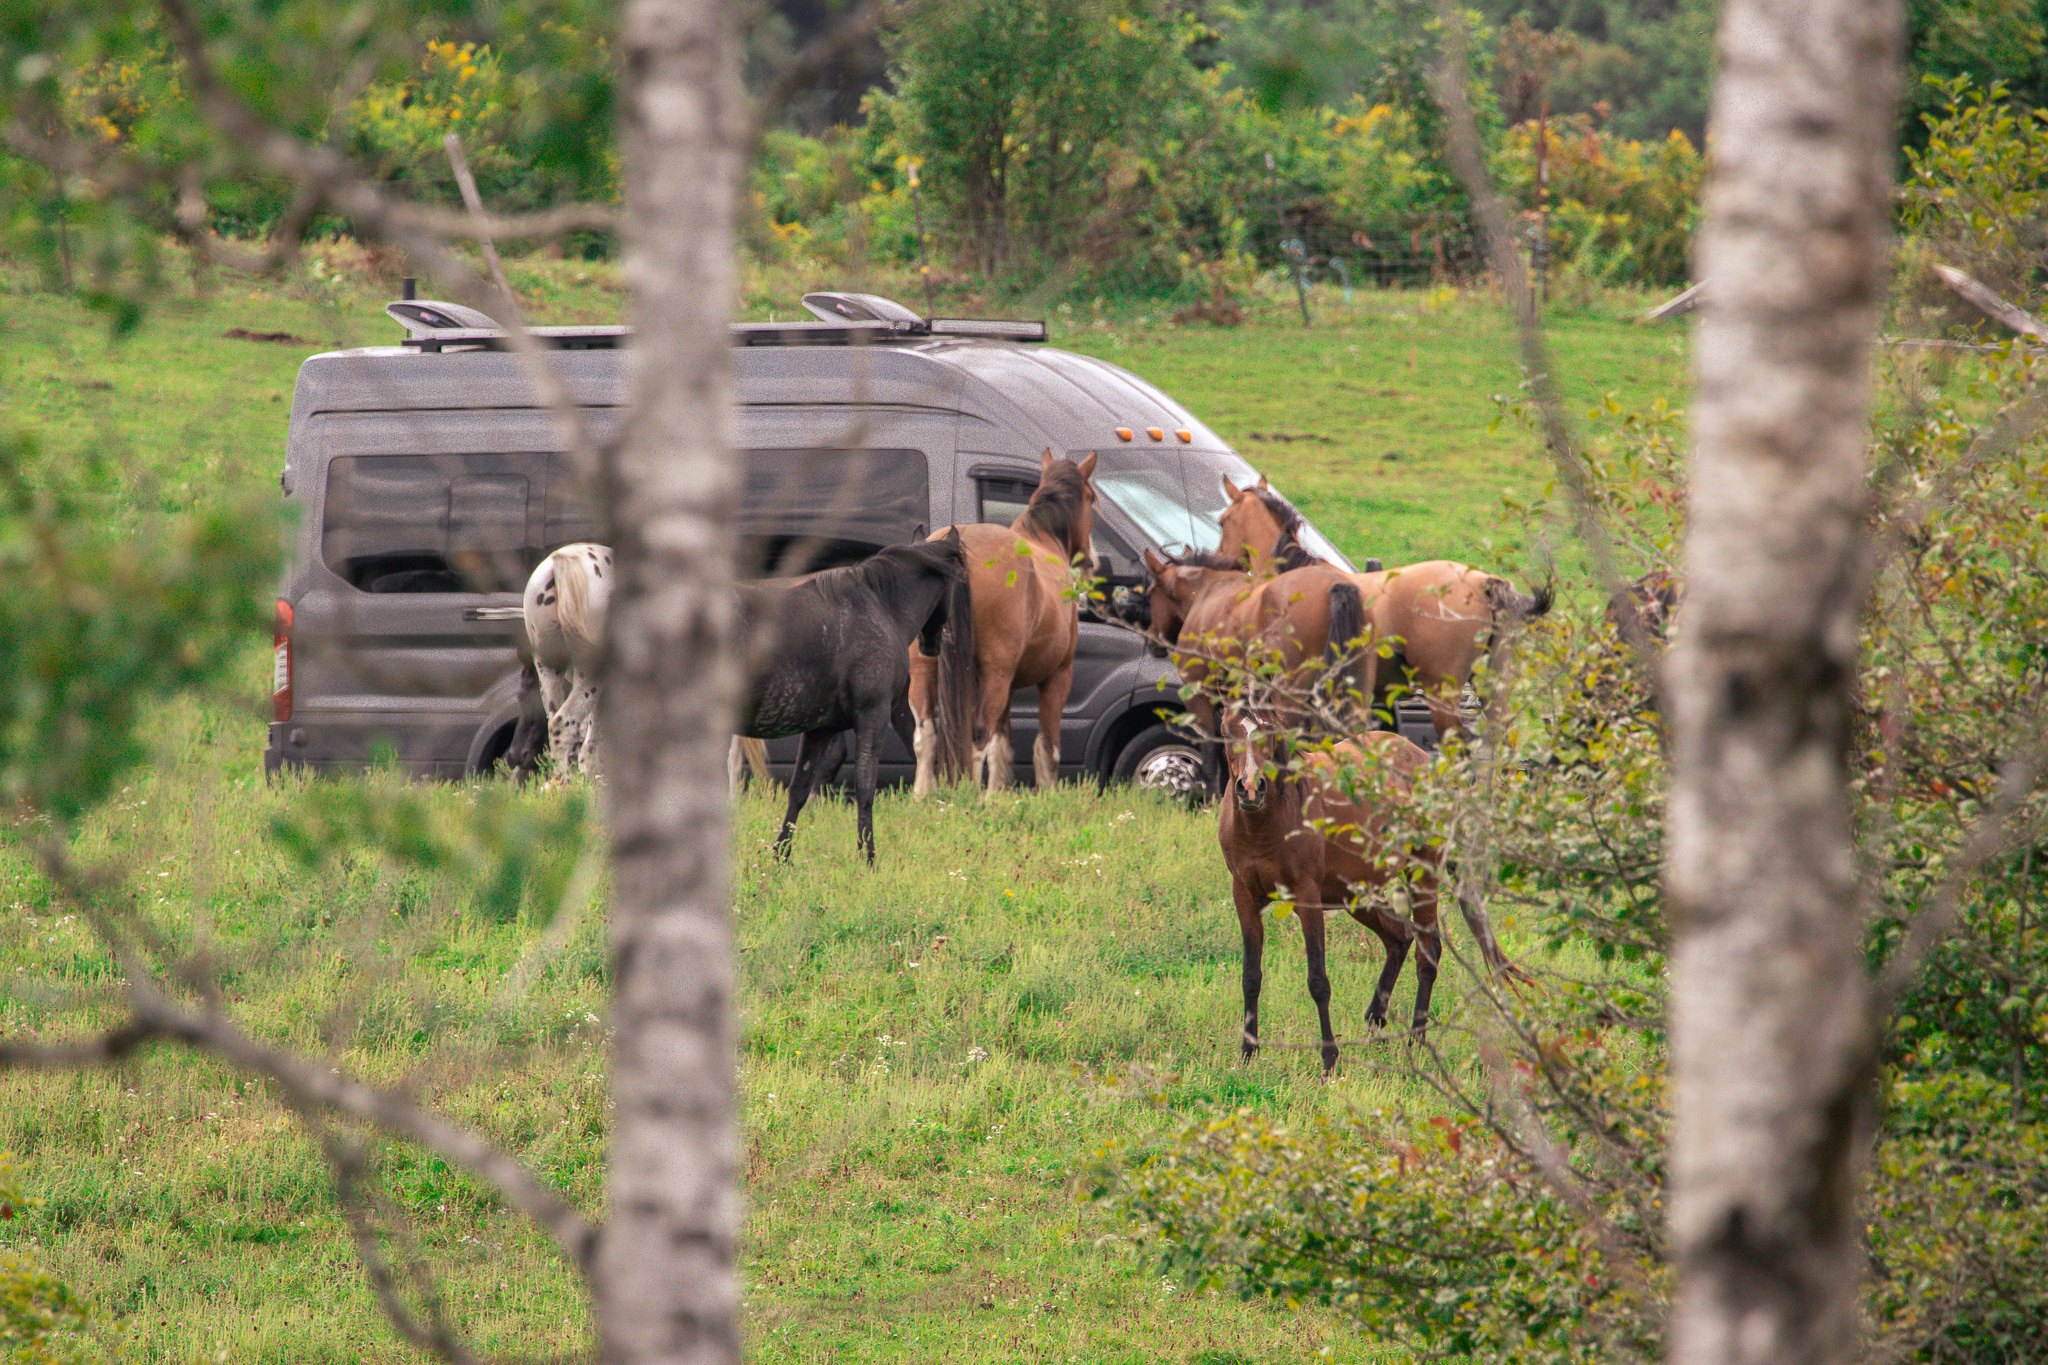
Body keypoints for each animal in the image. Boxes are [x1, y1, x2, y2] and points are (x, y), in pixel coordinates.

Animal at [739, 531, 968, 863]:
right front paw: (868, 858)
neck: (878, 607)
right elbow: (865, 789)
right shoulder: (873, 718)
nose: (933, 645)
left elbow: (799, 789)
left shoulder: (820, 729)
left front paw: (781, 856)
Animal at [909, 449, 1098, 795]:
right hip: (997, 677)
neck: (1043, 538)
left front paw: (996, 794)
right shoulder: (1058, 676)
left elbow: (1003, 745)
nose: (1093, 560)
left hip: (925, 668)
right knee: (977, 737)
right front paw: (1047, 793)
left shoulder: (1008, 683)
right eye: (1091, 498)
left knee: (925, 733)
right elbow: (1046, 747)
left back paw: (923, 796)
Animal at [1140, 548, 1371, 795]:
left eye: (1152, 593)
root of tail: (1333, 585)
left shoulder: (1199, 696)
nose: (1151, 639)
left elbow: (1211, 756)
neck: (1206, 593)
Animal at [1217, 717, 1522, 1073]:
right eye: (1227, 732)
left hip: (1422, 877)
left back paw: (1416, 1039)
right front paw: (1247, 1055)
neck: (1266, 824)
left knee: (1428, 951)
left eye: (1269, 735)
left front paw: (1330, 1060)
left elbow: (1318, 981)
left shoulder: (1308, 899)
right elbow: (1250, 977)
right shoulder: (1244, 898)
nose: (1251, 788)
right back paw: (1375, 1022)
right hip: (1358, 895)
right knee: (1398, 939)